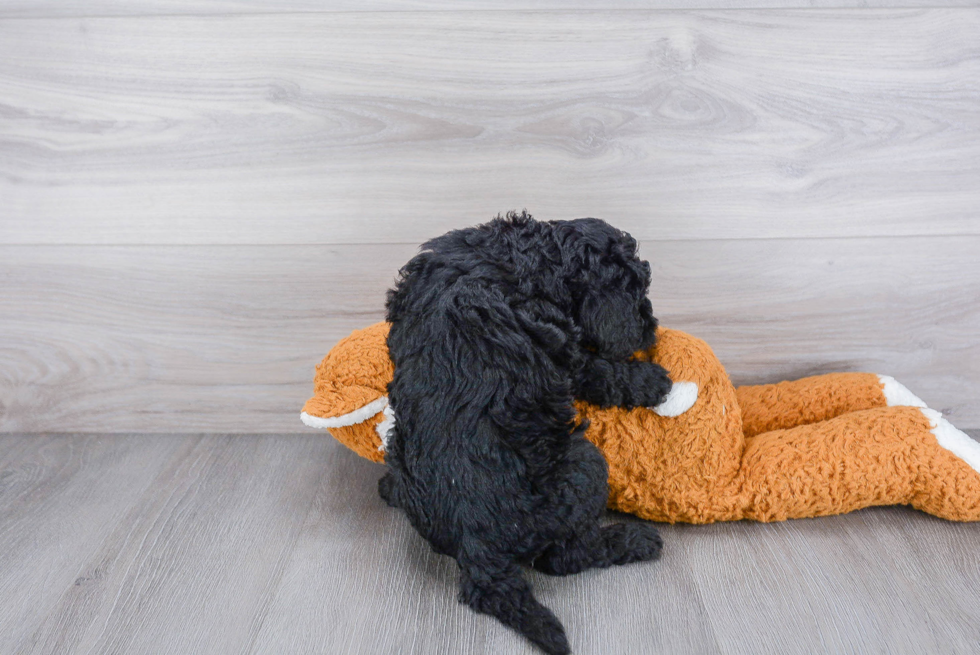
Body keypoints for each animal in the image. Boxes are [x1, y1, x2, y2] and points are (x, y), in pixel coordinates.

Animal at [380, 213, 672, 652]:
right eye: (639, 293)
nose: (651, 328)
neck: (531, 258)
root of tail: (476, 550)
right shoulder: (565, 350)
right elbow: (599, 370)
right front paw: (651, 380)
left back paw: (387, 488)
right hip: (584, 466)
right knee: (565, 558)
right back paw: (634, 540)